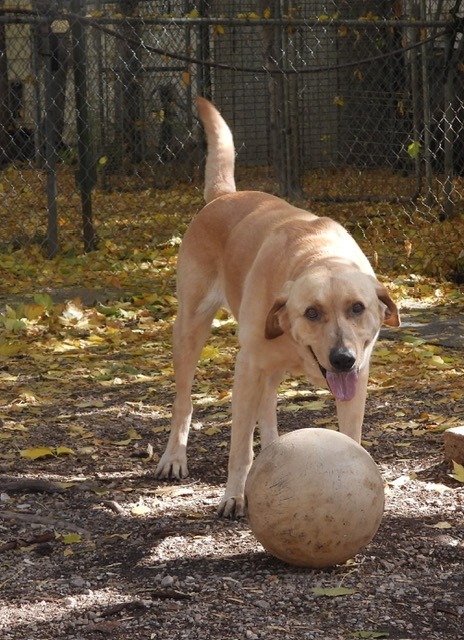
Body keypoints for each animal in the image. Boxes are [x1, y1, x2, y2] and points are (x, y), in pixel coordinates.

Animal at [155, 99, 398, 520]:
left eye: (357, 308)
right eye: (312, 312)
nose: (343, 359)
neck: (318, 254)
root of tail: (224, 196)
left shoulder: (357, 379)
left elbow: (350, 437)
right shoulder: (247, 368)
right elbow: (238, 448)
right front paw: (234, 495)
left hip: (270, 366)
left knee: (267, 406)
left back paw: (272, 449)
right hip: (191, 328)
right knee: (185, 401)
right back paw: (175, 457)